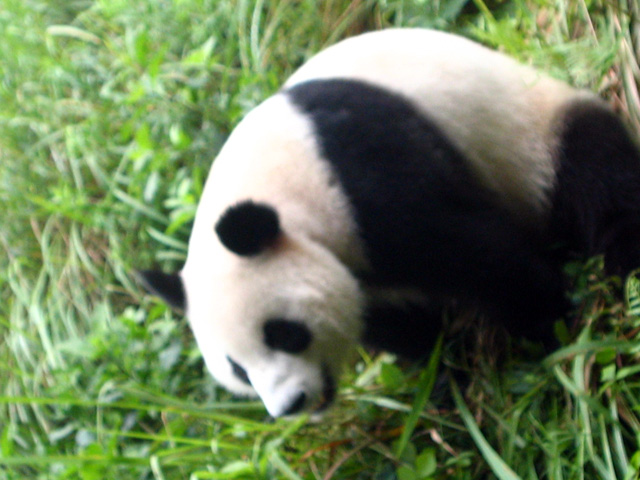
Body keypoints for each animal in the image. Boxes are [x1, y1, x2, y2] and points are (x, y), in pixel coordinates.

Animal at [139, 28, 640, 418]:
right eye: (238, 369)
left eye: (282, 333)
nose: (291, 406)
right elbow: (397, 321)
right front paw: (444, 374)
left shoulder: (362, 172)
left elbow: (471, 249)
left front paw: (548, 325)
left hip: (531, 134)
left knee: (591, 171)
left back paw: (620, 257)